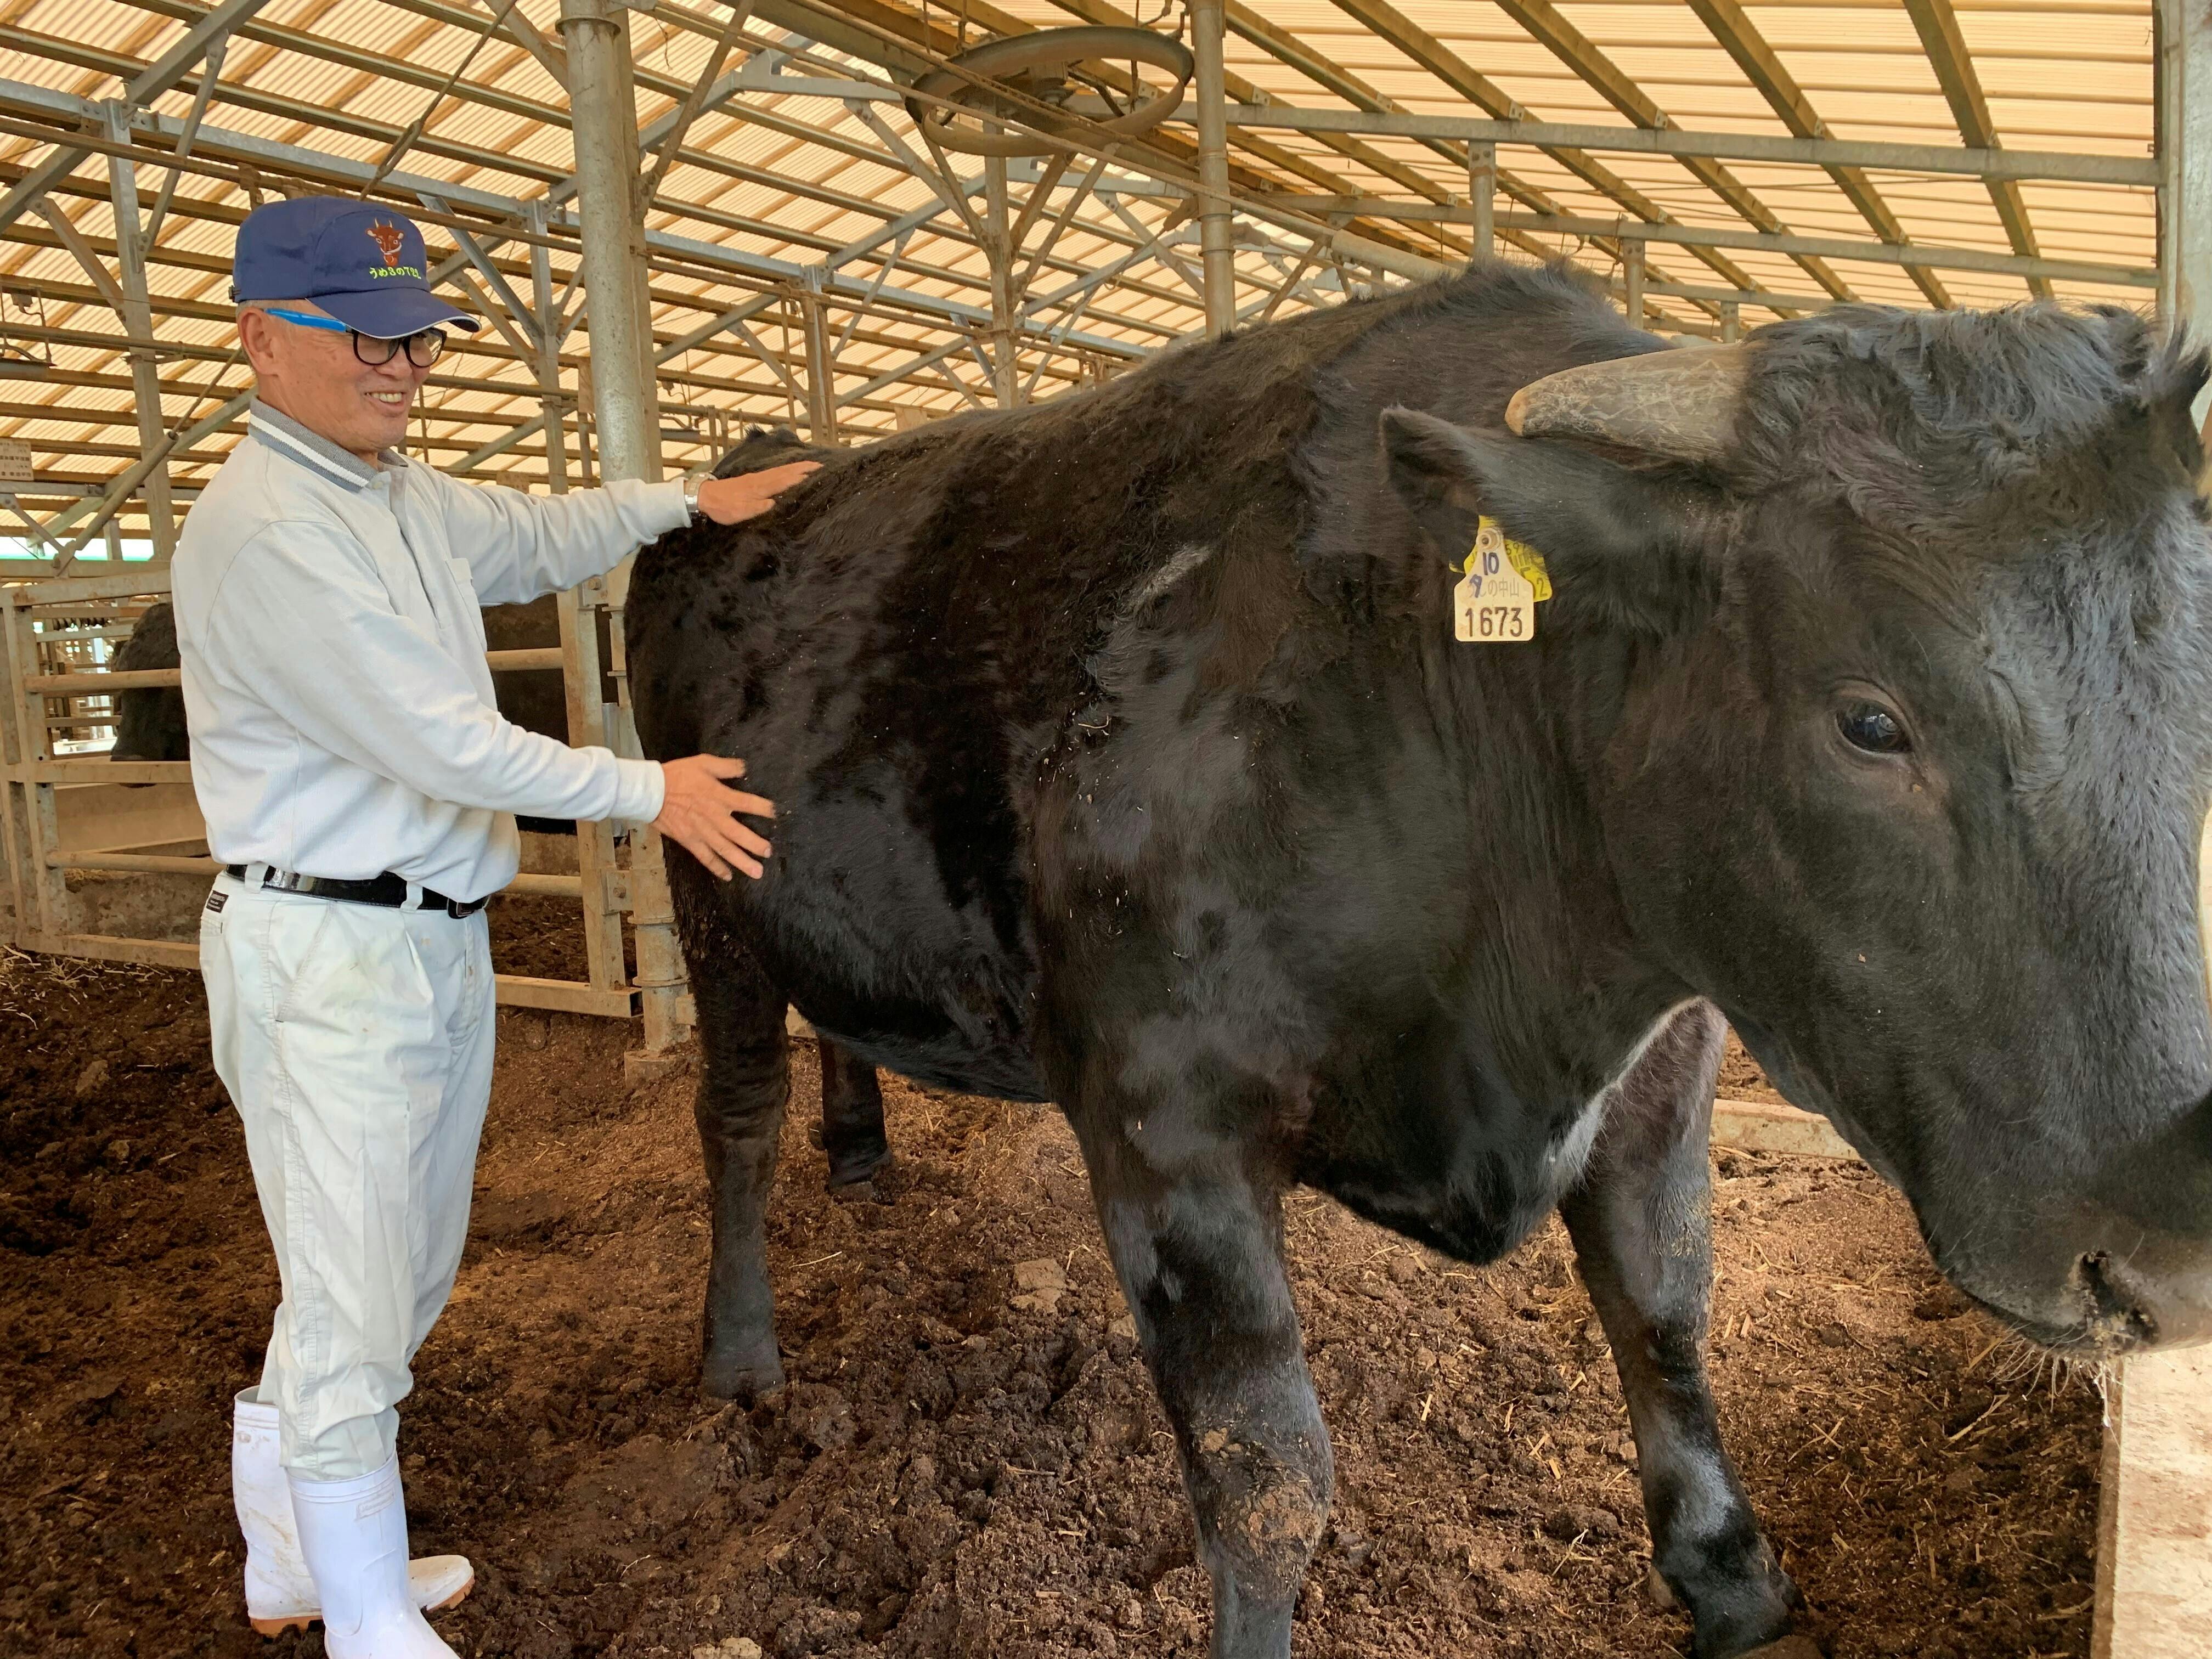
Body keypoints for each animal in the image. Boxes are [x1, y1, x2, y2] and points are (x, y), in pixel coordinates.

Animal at [627, 260, 2212, 1659]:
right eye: (1870, 720)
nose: (2169, 1258)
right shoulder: (1163, 1123)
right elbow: (1268, 1477)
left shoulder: (1669, 1057)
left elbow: (1664, 1311)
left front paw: (1735, 1584)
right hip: (702, 883)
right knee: (734, 1113)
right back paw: (743, 1358)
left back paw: (859, 1152)